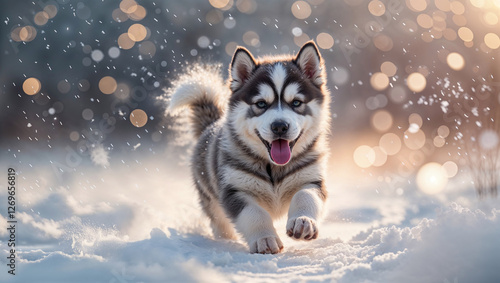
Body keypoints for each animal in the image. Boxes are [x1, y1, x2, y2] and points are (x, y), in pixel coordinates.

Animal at [168, 40, 330, 255]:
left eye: (296, 102)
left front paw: (303, 222)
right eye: (261, 104)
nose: (280, 126)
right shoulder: (234, 190)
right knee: (220, 223)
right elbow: (254, 214)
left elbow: (305, 196)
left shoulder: (311, 179)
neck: (274, 168)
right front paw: (265, 239)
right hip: (211, 201)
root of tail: (210, 125)